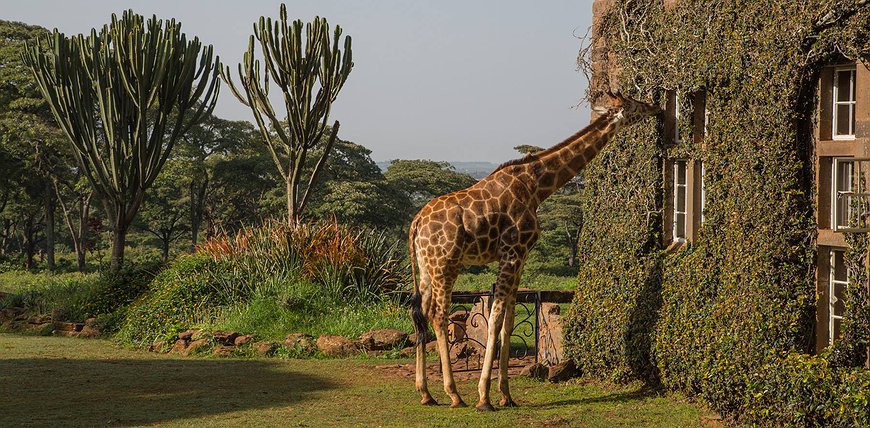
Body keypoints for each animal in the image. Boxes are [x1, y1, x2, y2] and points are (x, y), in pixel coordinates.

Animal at [408, 91, 660, 412]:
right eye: (635, 104)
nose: (656, 108)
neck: (536, 187)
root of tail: (415, 223)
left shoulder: (521, 257)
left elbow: (509, 321)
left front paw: (506, 395)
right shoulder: (512, 252)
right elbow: (494, 320)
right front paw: (484, 397)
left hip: (426, 266)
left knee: (420, 313)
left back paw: (426, 393)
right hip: (447, 262)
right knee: (439, 315)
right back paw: (454, 394)